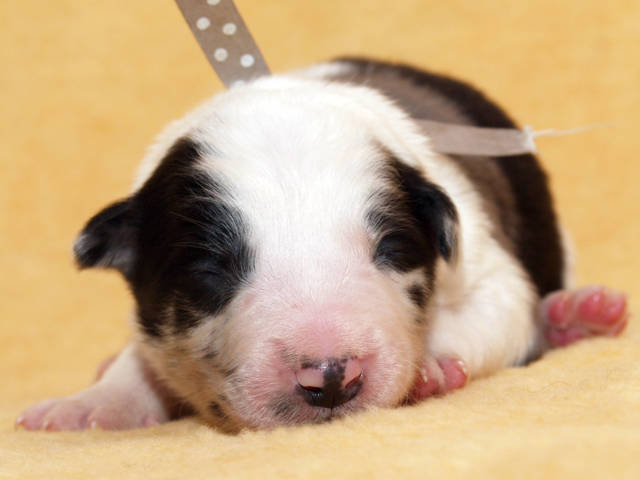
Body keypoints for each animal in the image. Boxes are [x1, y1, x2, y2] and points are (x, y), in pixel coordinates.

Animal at [17, 58, 628, 432]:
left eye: (391, 250)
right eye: (212, 270)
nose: (331, 376)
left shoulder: (488, 272)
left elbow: (494, 315)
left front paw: (430, 366)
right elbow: (141, 357)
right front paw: (90, 406)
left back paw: (581, 315)